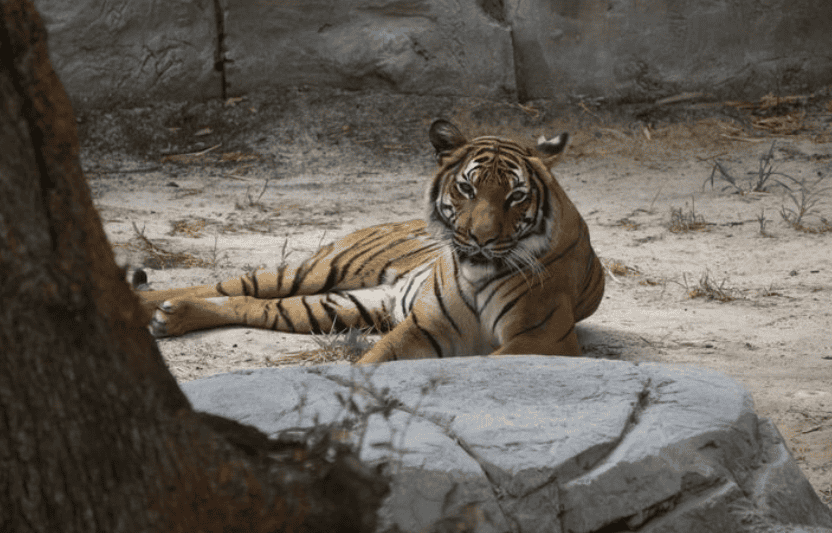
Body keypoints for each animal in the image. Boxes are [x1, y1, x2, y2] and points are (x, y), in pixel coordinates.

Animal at [138, 119, 604, 363]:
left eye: (516, 196)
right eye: (467, 189)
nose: (480, 239)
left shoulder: (542, 340)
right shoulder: (424, 326)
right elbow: (374, 360)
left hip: (339, 307)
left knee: (250, 303)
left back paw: (169, 317)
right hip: (320, 269)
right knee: (228, 285)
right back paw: (149, 304)